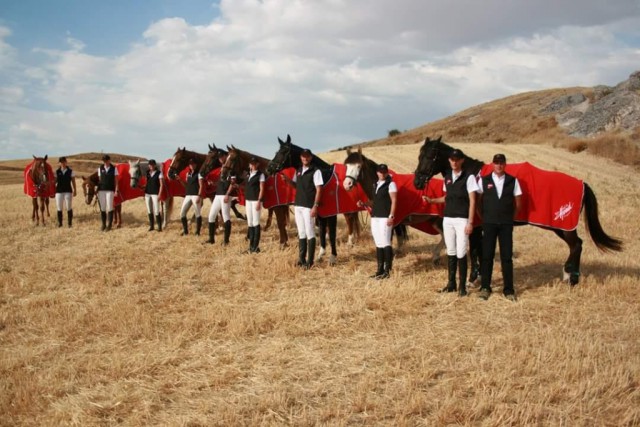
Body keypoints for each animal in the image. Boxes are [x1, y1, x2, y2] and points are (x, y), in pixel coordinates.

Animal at [264, 136, 362, 264]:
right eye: (277, 152)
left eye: (284, 152)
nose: (269, 169)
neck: (325, 177)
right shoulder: (321, 214)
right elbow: (321, 232)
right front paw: (320, 254)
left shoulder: (331, 214)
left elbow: (331, 234)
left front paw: (332, 257)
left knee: (350, 219)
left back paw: (350, 242)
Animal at [412, 135, 624, 286]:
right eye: (419, 155)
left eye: (430, 156)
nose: (417, 182)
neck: (471, 176)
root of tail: (582, 184)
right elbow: (479, 251)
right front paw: (478, 277)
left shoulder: (475, 227)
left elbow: (474, 251)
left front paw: (472, 279)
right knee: (577, 245)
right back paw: (570, 275)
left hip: (563, 226)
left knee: (576, 245)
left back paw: (570, 277)